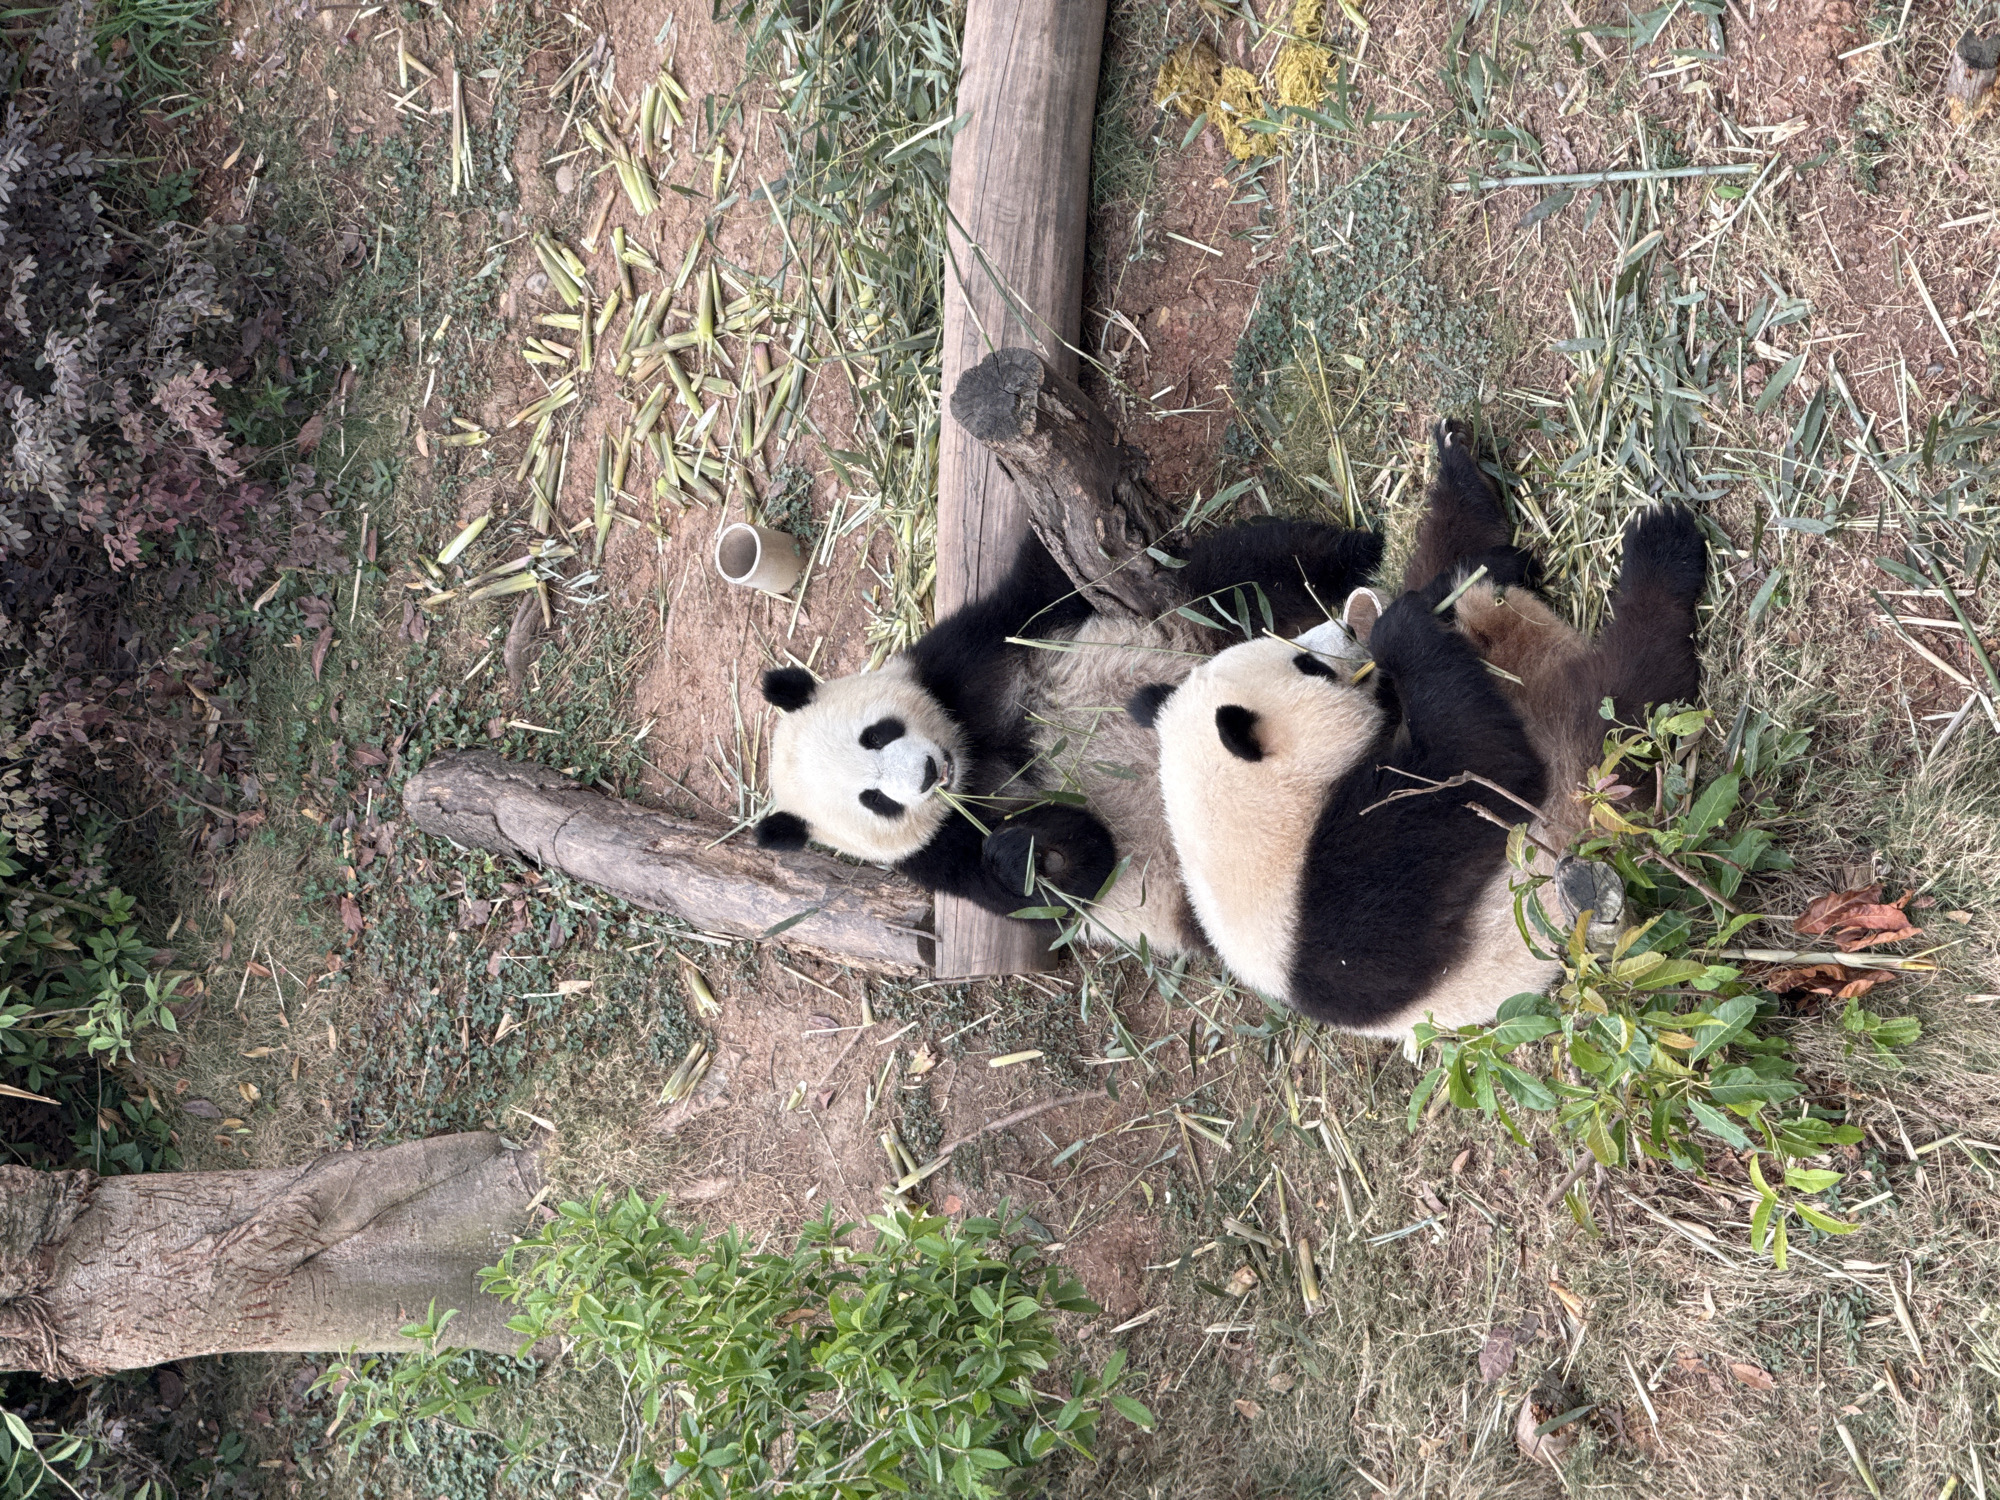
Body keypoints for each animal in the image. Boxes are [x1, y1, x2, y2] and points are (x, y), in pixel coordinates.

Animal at [752, 520, 1383, 955]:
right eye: (876, 802)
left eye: (877, 734)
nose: (930, 773)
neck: (976, 753)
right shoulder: (937, 853)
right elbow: (1058, 890)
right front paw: (1024, 850)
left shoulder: (964, 657)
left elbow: (1042, 586)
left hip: (1193, 626)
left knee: (1247, 575)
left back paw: (1364, 556)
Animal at [1128, 420, 1709, 1038]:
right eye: (1307, 667)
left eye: (1295, 650)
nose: (1344, 631)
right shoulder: (1337, 899)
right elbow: (1480, 770)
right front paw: (1402, 627)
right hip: (1583, 766)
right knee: (1632, 691)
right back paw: (1662, 550)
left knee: (1444, 555)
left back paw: (1463, 484)